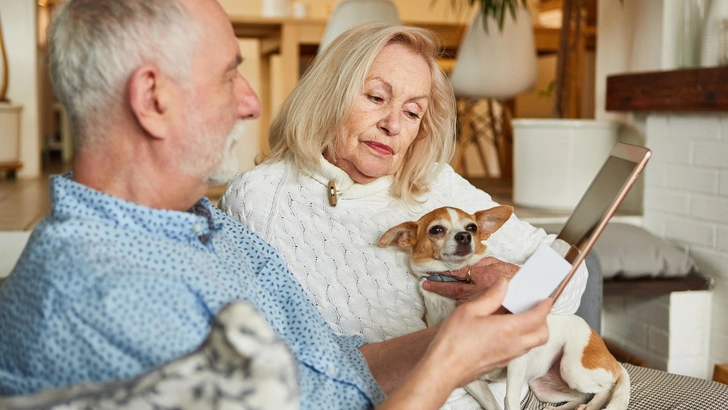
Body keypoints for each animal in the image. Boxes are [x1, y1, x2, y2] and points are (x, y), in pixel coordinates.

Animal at [378, 207, 628, 410]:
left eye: (472, 227)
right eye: (436, 229)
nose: (464, 236)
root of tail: (613, 359)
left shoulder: (516, 359)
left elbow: (510, 399)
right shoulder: (469, 377)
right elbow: (491, 403)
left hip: (572, 367)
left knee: (604, 389)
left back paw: (594, 404)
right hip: (542, 387)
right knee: (580, 396)